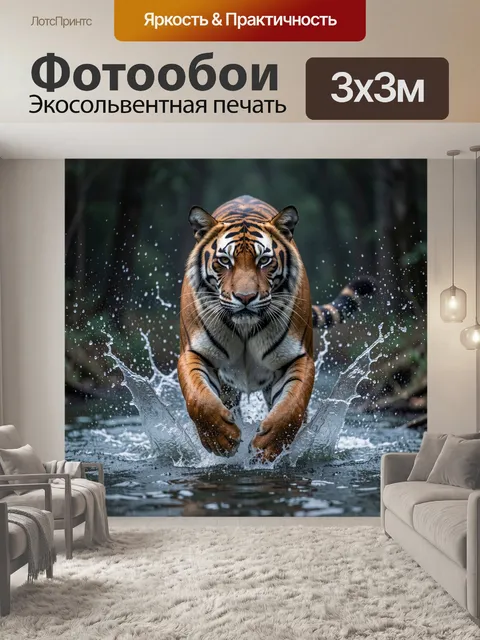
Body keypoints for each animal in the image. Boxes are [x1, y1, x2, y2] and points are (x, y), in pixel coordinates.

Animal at [178, 195, 374, 462]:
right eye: (224, 261)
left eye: (264, 260)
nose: (245, 297)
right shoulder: (194, 352)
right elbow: (199, 399)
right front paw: (220, 440)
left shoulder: (297, 357)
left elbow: (291, 407)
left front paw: (268, 446)